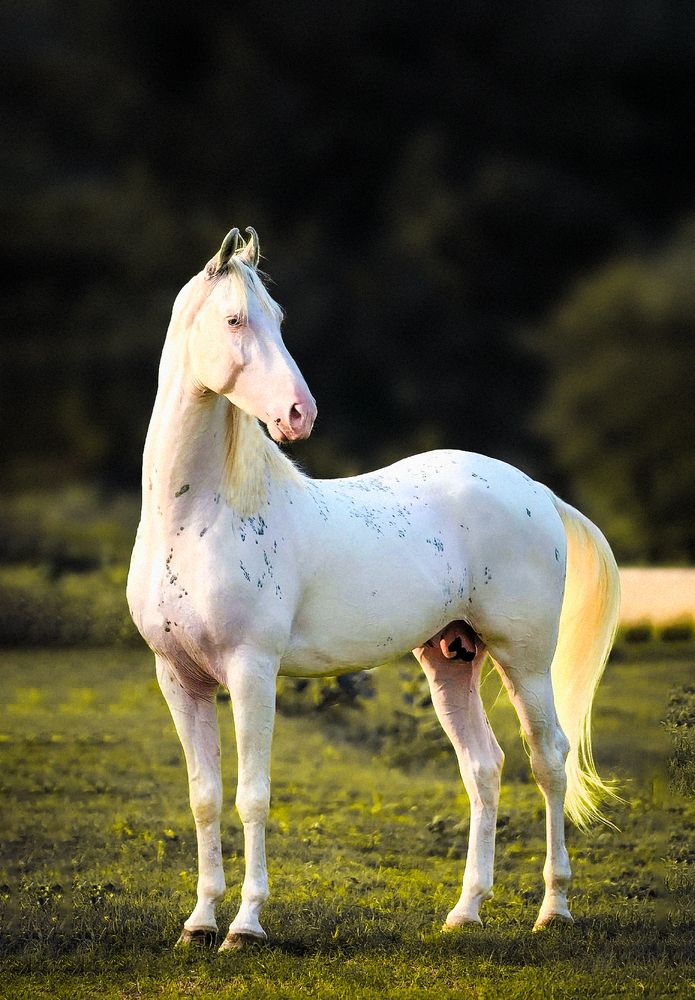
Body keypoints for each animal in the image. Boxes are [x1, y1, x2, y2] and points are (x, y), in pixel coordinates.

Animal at [127, 227, 620, 951]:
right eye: (235, 320)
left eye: (278, 319)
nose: (299, 413)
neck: (196, 520)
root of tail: (532, 489)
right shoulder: (178, 677)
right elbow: (204, 797)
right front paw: (199, 922)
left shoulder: (251, 671)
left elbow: (252, 796)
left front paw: (245, 925)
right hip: (450, 660)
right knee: (484, 766)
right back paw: (465, 911)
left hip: (523, 660)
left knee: (548, 760)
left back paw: (552, 909)